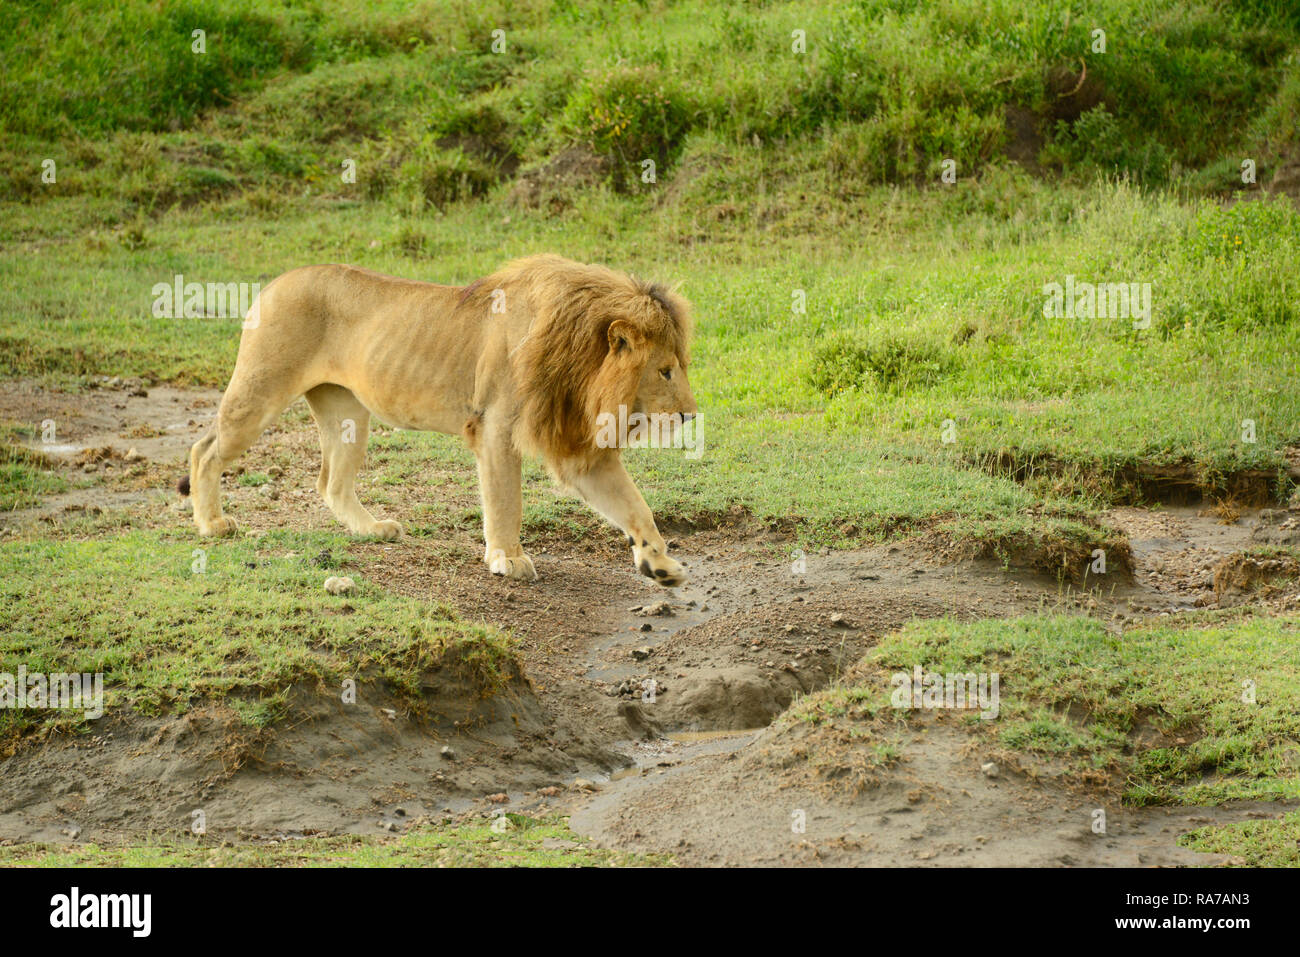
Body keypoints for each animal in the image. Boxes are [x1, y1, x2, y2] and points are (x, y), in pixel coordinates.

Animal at [180, 254, 702, 582]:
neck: (578, 358)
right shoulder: (495, 429)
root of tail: (276, 280)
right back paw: (213, 524)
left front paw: (661, 566)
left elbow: (635, 506)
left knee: (331, 483)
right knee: (204, 450)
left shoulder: (579, 449)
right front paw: (507, 559)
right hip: (261, 389)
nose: (690, 417)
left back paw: (373, 529)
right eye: (665, 370)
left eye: (680, 365)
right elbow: (505, 502)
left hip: (346, 411)